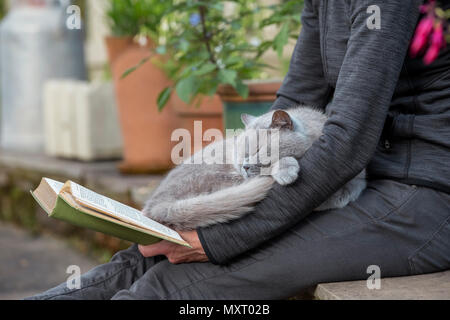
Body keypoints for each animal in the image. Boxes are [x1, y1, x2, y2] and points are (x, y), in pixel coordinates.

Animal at [142, 107, 368, 230]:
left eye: (258, 150)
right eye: (240, 153)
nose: (244, 166)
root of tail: (157, 204)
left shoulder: (357, 179)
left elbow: (349, 190)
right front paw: (286, 172)